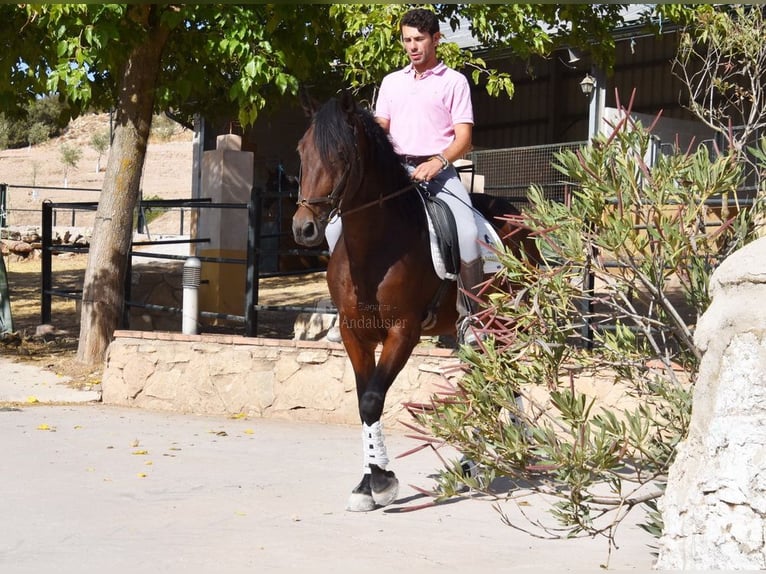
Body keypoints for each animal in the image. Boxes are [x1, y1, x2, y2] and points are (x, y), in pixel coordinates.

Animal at [292, 90, 538, 512]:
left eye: (340, 154)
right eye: (301, 151)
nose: (303, 227)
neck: (375, 248)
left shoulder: (403, 332)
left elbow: (373, 399)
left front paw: (383, 482)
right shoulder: (354, 333)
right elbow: (363, 403)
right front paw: (366, 485)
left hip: (504, 323)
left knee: (498, 377)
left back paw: (512, 452)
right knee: (484, 378)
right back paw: (475, 463)